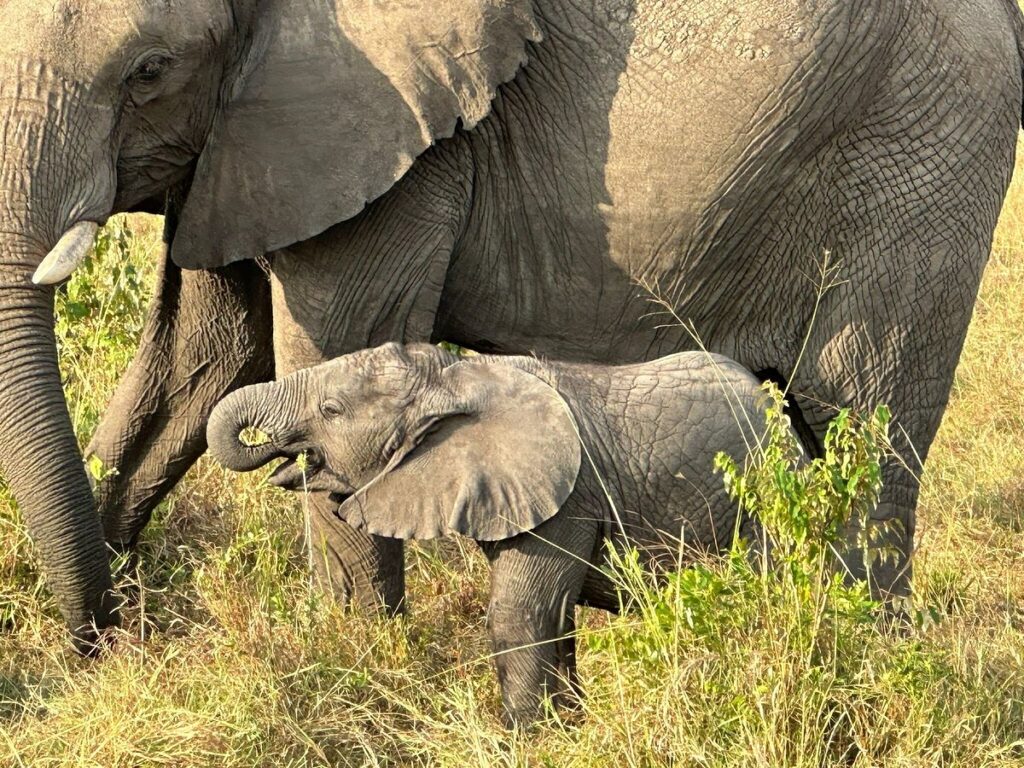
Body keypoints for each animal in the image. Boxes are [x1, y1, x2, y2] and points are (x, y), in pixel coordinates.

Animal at [2, 0, 1024, 651]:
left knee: (860, 429)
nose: (103, 633)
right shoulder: (240, 148)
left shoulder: (383, 143)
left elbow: (327, 344)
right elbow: (198, 359)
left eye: (150, 71)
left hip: (921, 162)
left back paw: (861, 657)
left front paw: (353, 662)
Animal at [205, 342, 774, 729]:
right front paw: (566, 726)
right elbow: (556, 619)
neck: (449, 378)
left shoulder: (568, 498)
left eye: (331, 411)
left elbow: (520, 614)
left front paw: (529, 739)